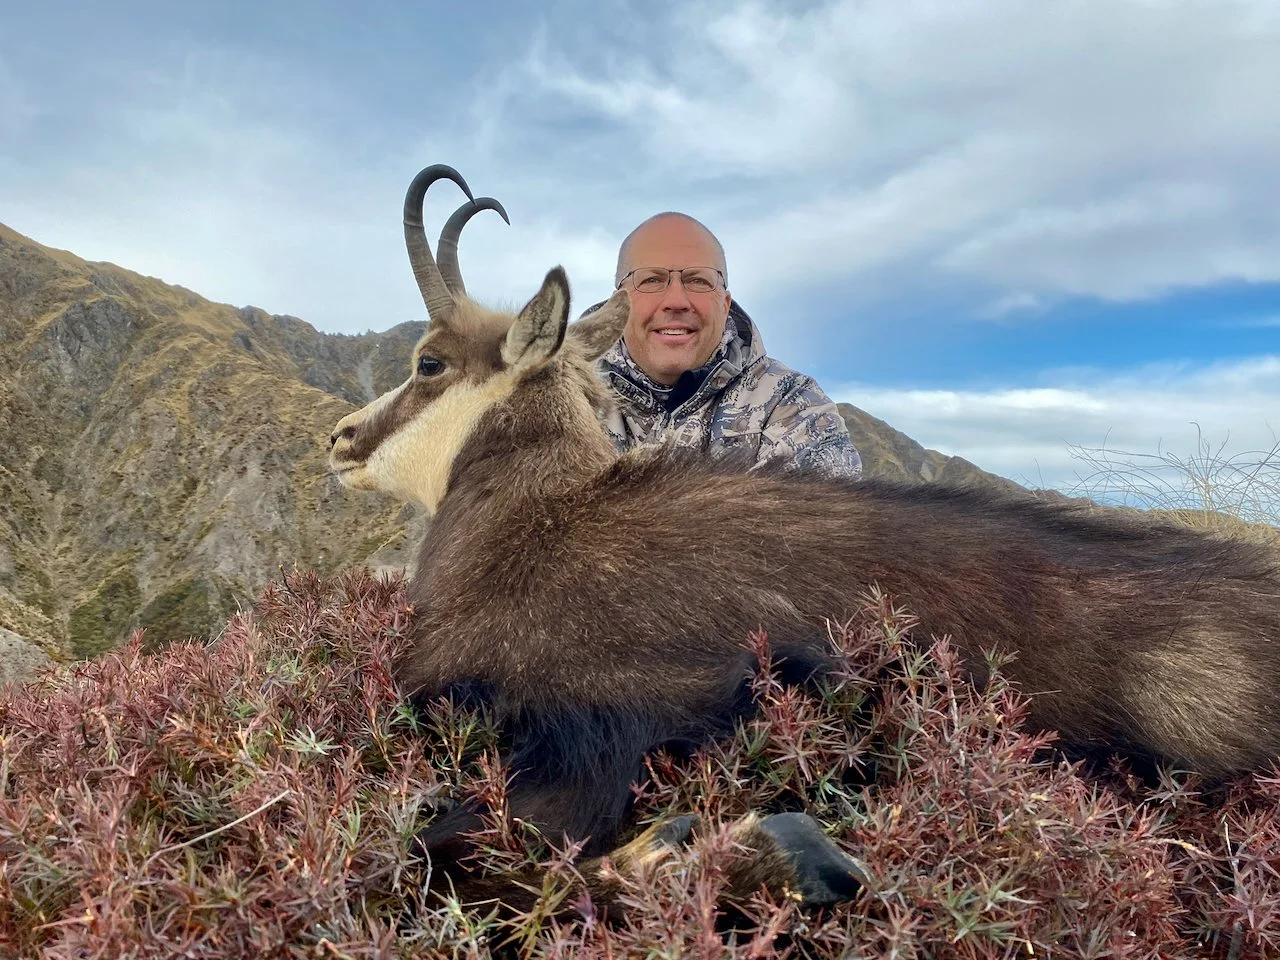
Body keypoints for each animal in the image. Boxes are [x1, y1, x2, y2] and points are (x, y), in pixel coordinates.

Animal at [328, 164, 1280, 918]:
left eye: (428, 363)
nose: (340, 440)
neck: (536, 526)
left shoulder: (602, 719)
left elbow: (447, 859)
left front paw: (766, 853)